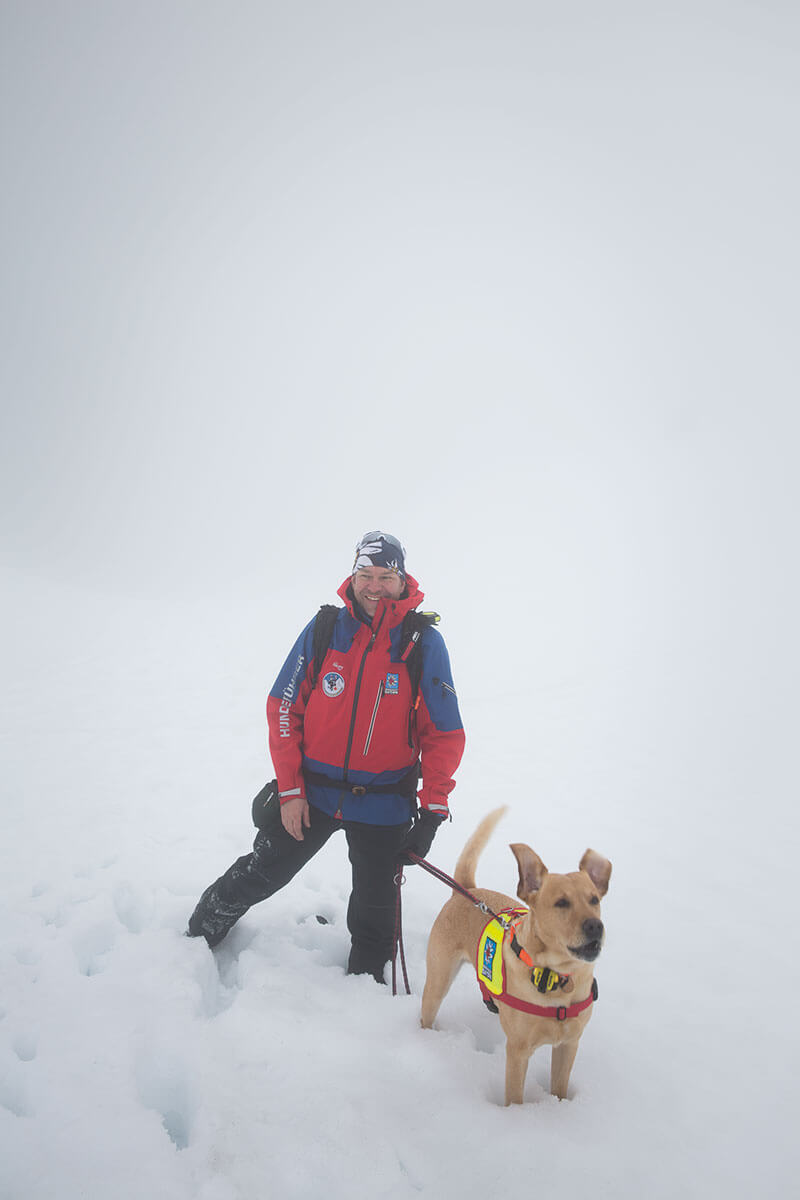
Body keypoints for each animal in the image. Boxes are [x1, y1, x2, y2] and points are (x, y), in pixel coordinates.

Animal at [419, 806, 614, 1104]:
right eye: (561, 903)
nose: (595, 926)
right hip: (438, 980)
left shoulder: (569, 1044)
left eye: (594, 899)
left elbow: (559, 1088)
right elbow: (514, 1096)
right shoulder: (518, 1050)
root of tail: (468, 890)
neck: (558, 980)